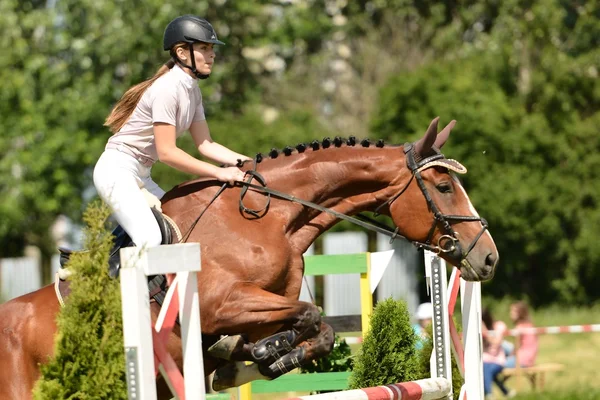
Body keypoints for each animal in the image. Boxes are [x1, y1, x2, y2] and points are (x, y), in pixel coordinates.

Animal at [0, 117, 496, 398]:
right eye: (444, 186)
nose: (488, 258)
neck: (270, 218)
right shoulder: (221, 302)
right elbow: (310, 313)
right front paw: (265, 352)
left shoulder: (265, 305)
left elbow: (316, 328)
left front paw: (263, 357)